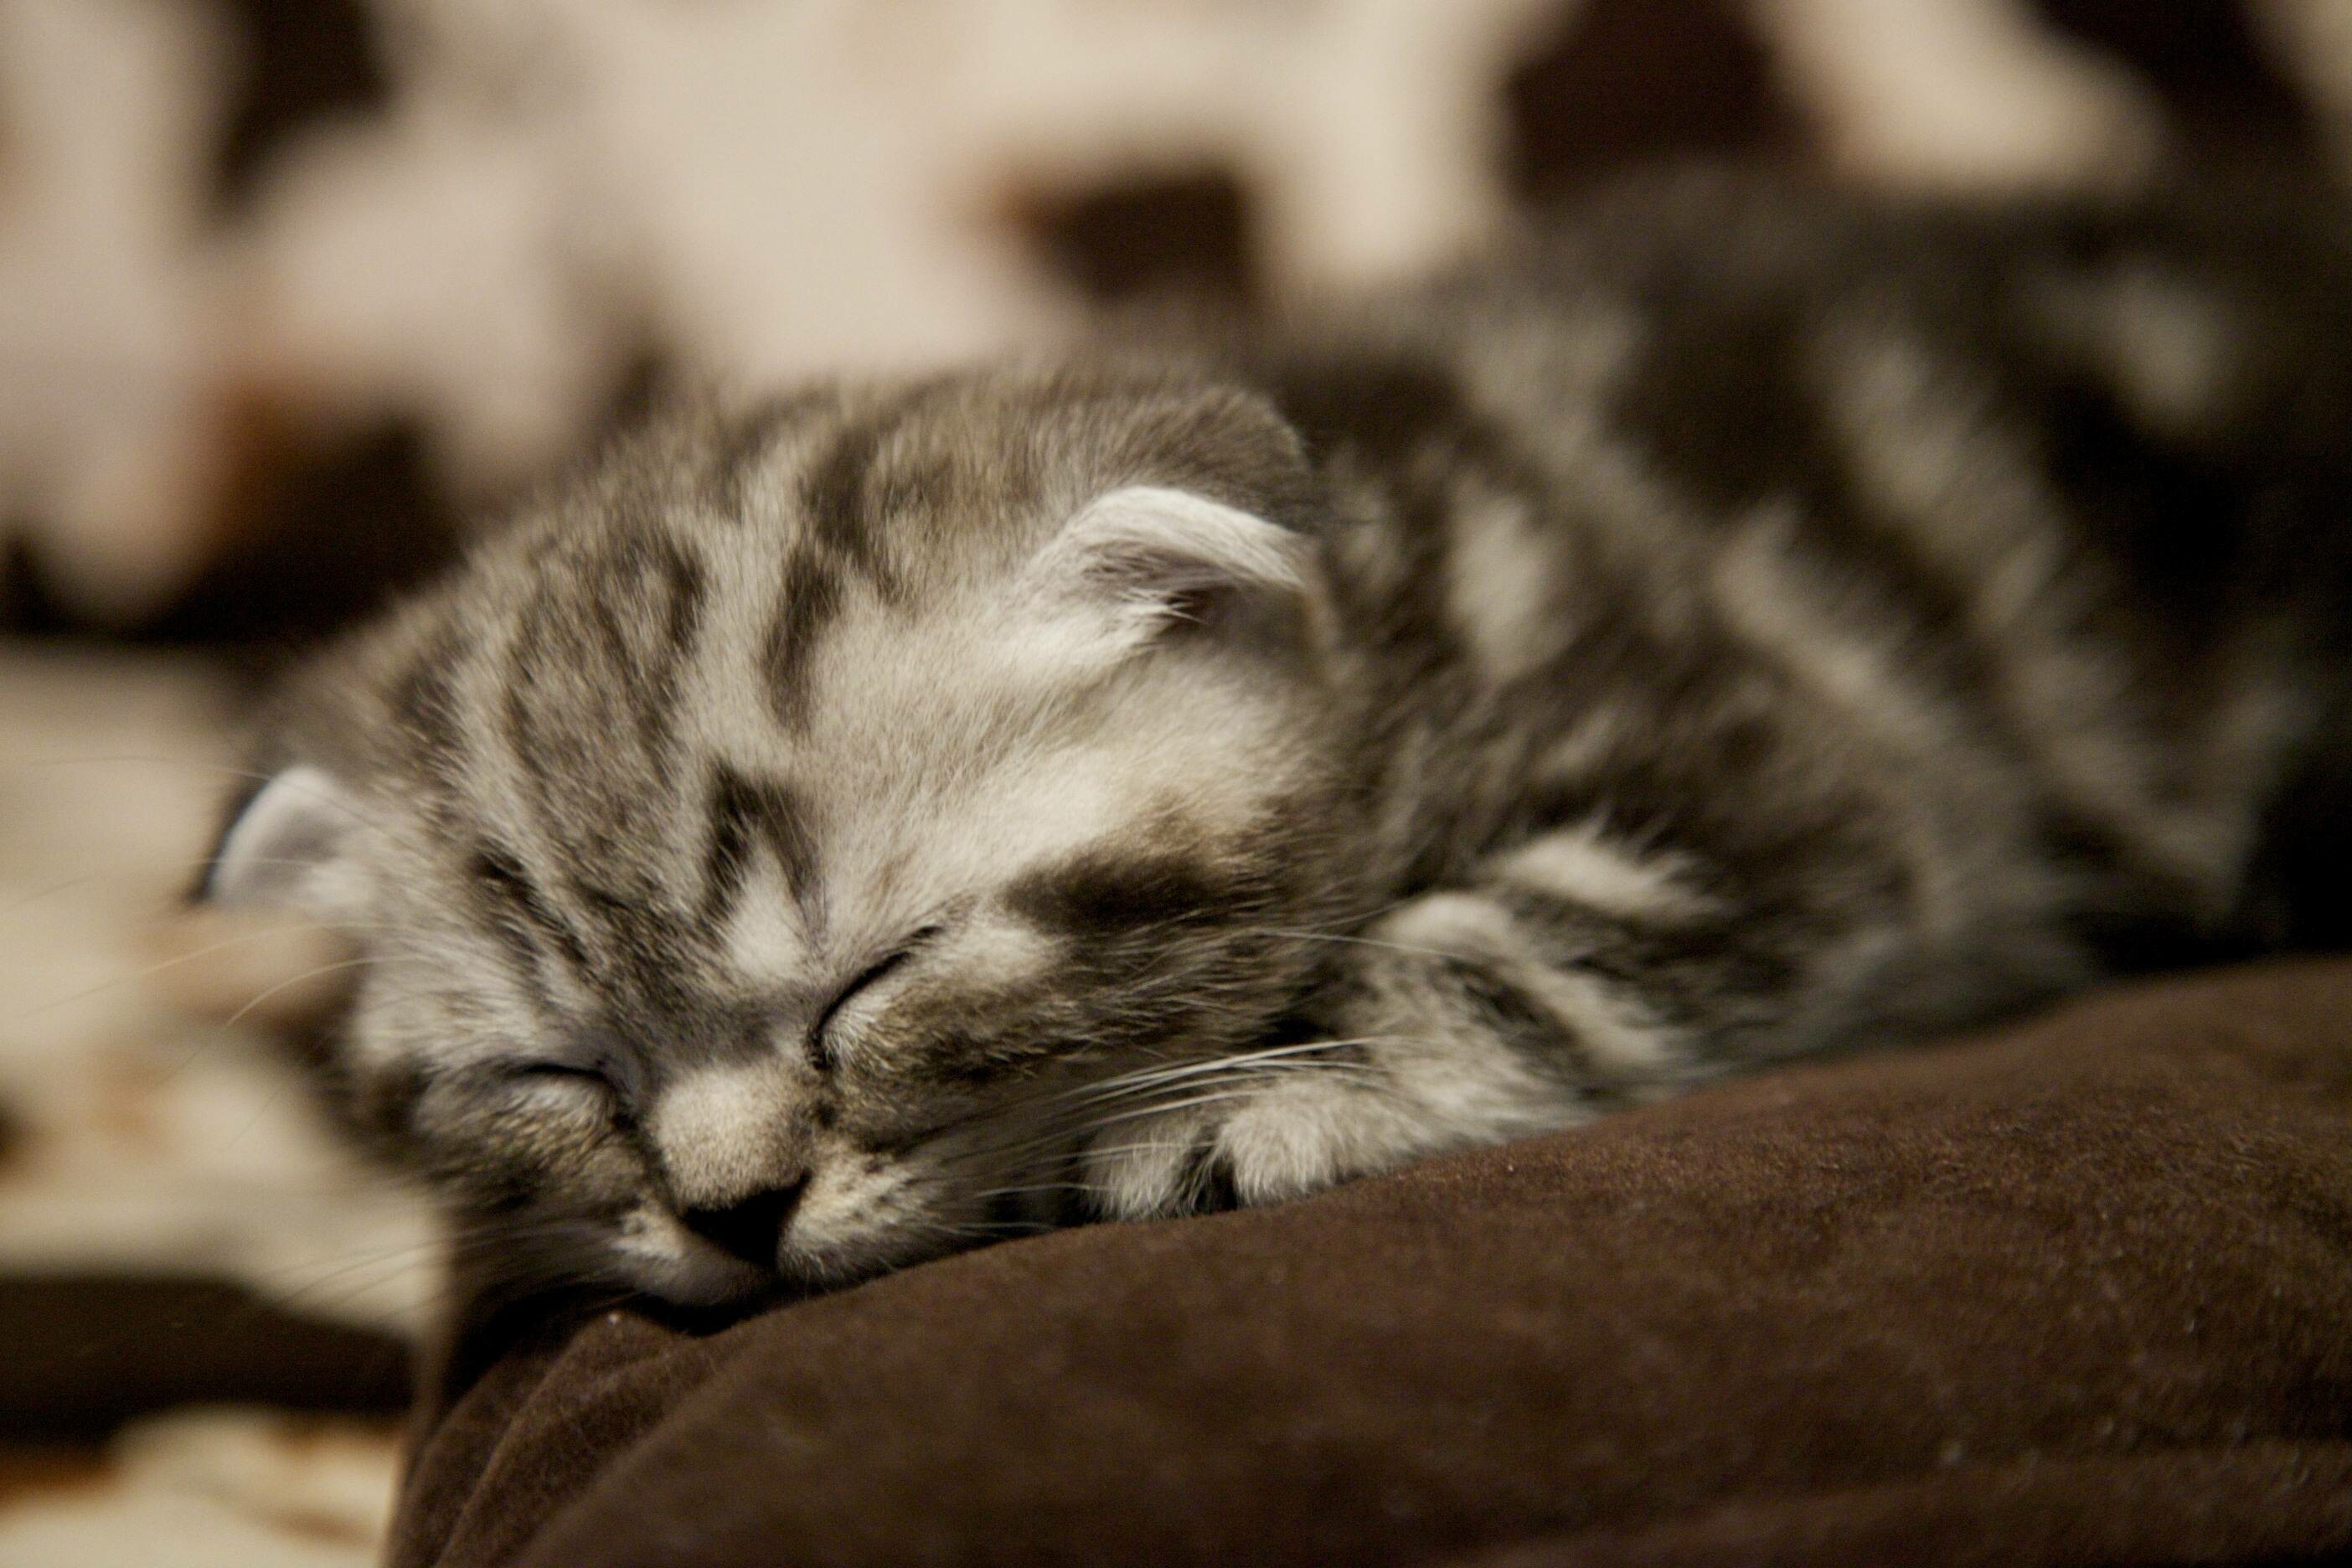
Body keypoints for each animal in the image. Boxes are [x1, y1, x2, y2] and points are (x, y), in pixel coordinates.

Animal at [197, 171, 2352, 1307]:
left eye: (884, 975)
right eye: (553, 1071)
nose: (731, 1214)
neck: (1388, 602)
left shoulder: (1798, 777)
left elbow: (1520, 945)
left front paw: (1272, 1097)